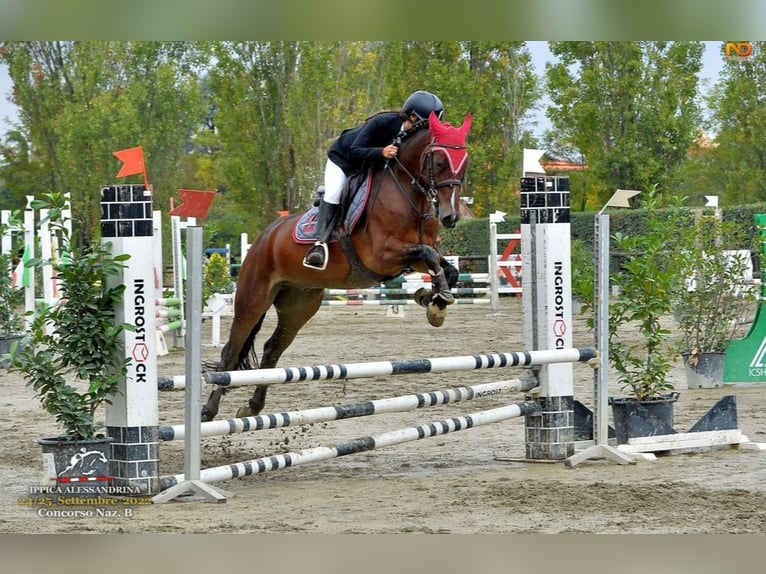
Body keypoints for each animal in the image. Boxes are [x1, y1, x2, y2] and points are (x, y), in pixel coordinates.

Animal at [201, 111, 472, 424]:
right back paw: (208, 412)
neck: (408, 192)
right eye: (439, 162)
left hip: (299, 304)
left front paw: (433, 301)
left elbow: (444, 266)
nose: (450, 217)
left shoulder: (414, 255)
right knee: (232, 351)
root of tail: (264, 237)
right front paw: (435, 298)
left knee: (272, 349)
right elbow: (429, 256)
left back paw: (253, 407)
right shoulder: (382, 255)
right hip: (253, 297)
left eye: (465, 164)